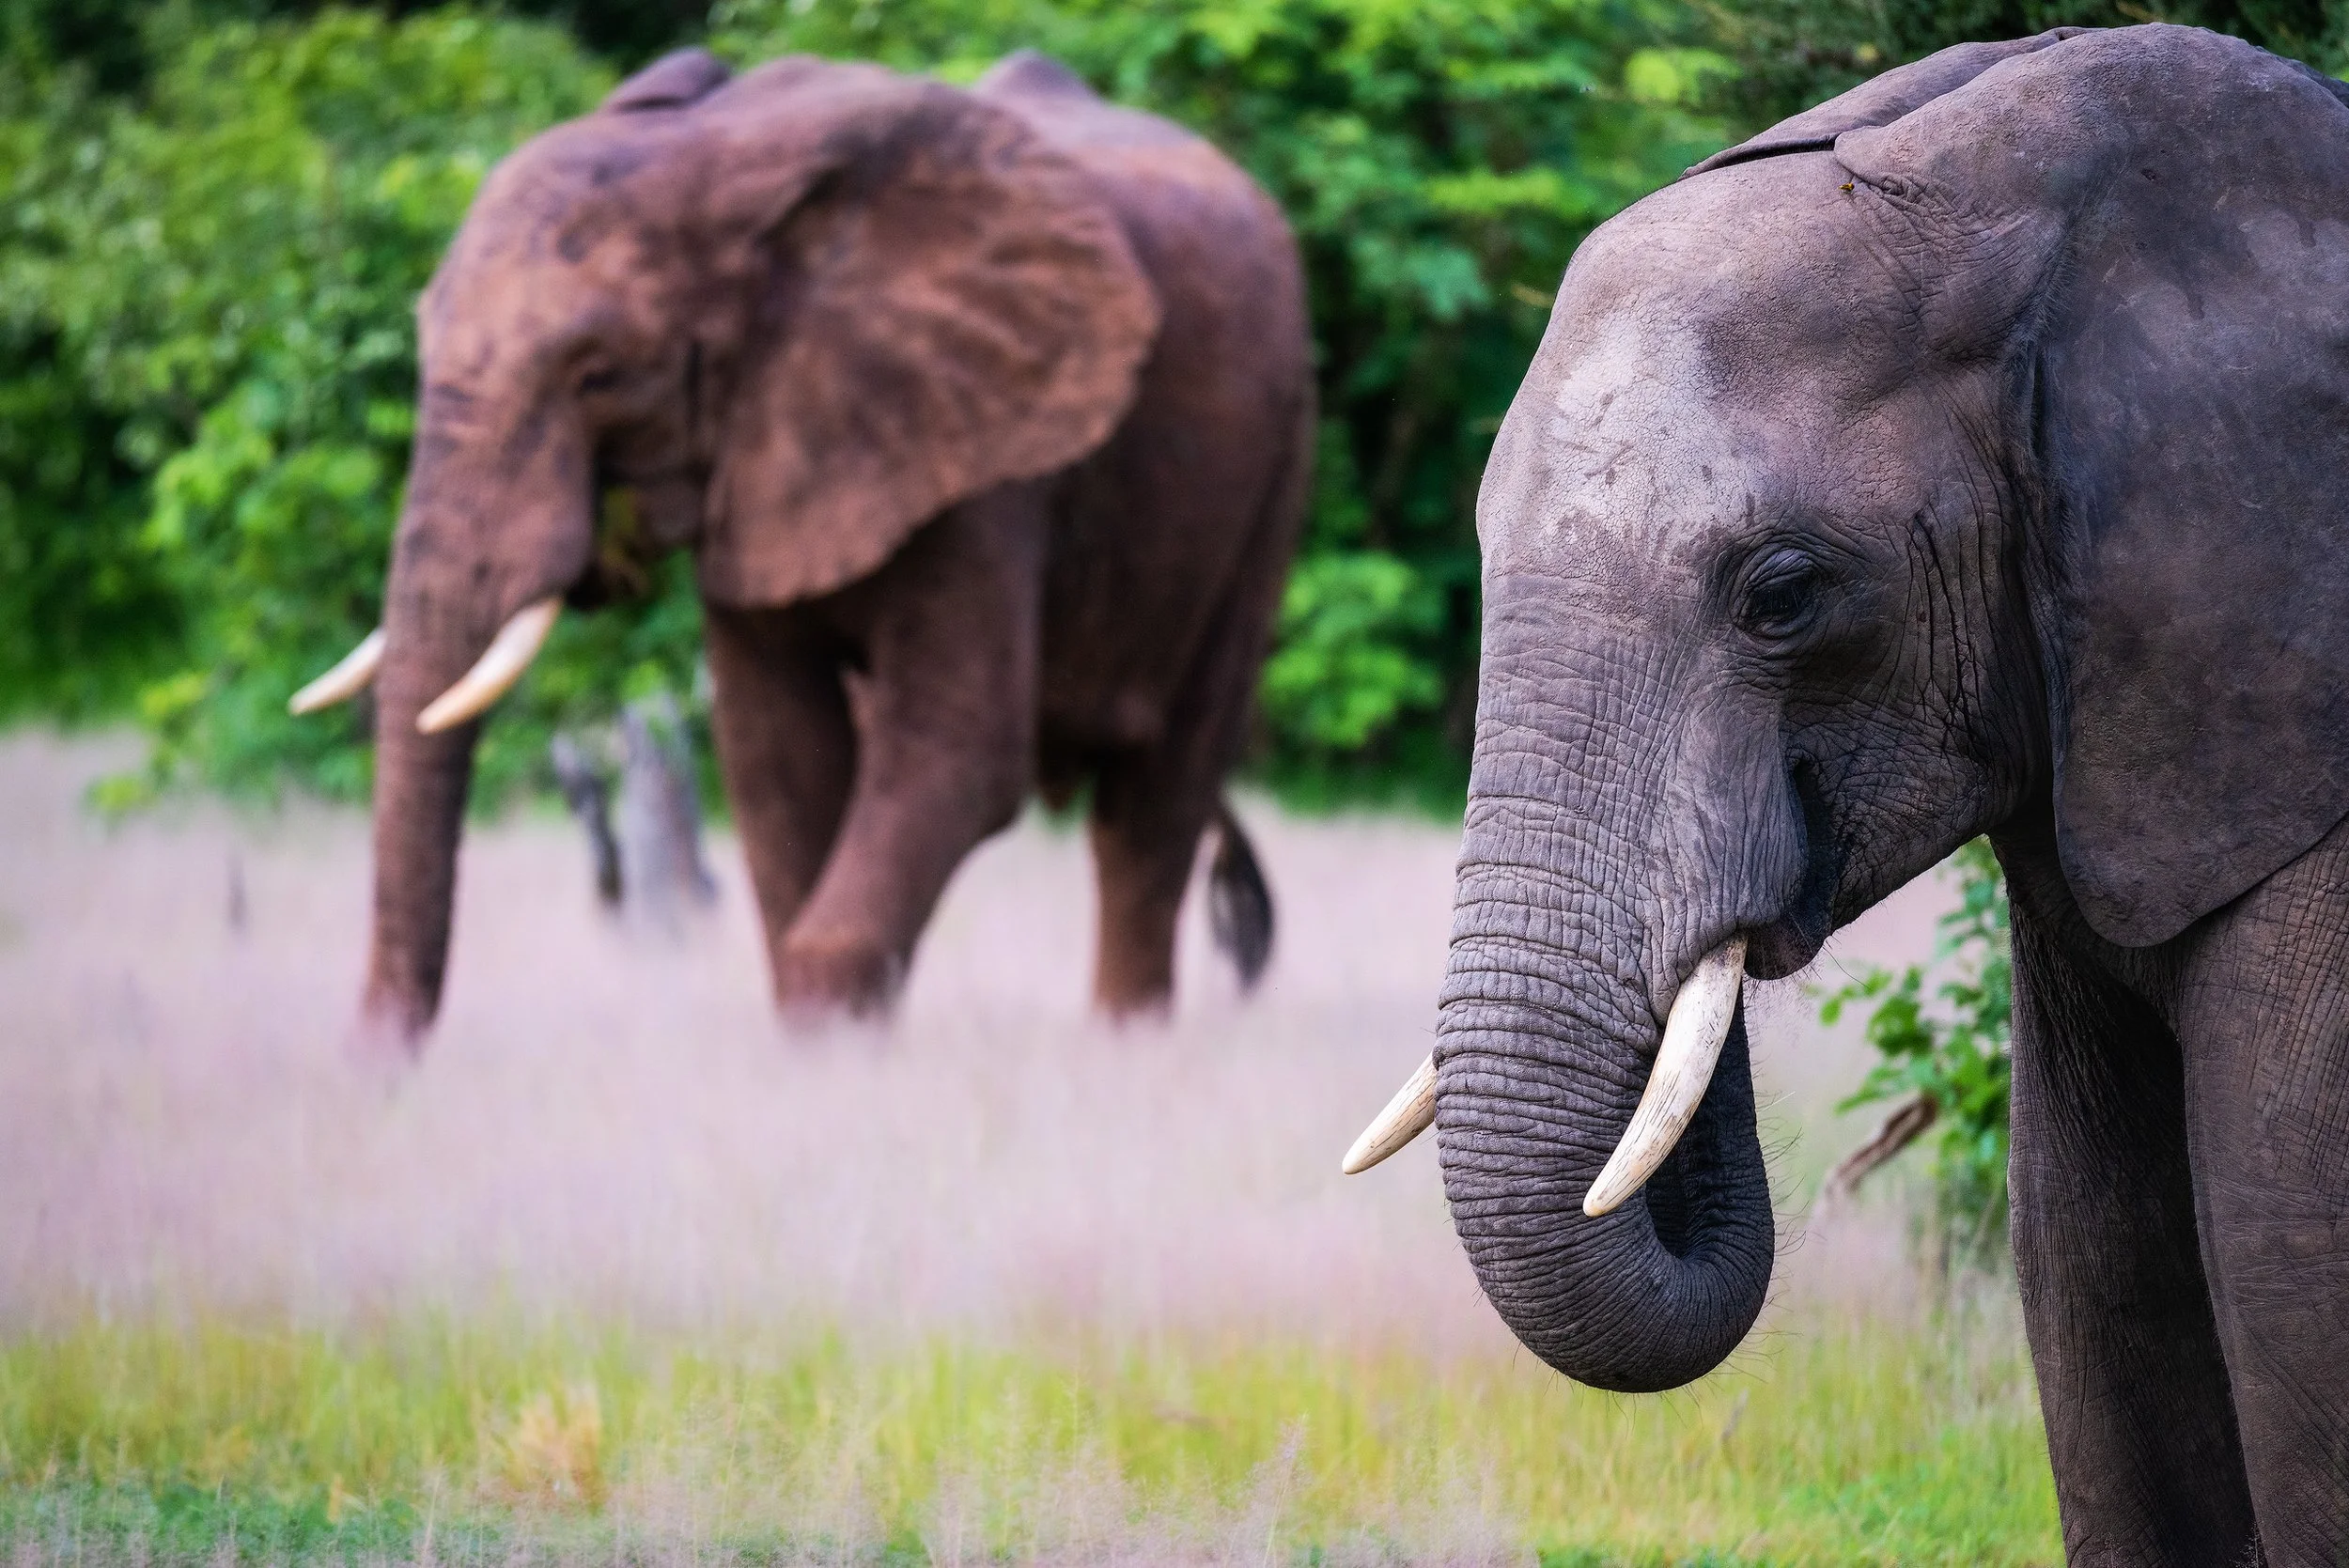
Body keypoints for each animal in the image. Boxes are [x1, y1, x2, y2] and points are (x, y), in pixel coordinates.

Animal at [291, 47, 1311, 1044]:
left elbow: (960, 752)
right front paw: (825, 1049)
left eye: (599, 376)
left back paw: (1126, 1044)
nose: (379, 1062)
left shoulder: (987, 450)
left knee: (1153, 802)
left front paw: (834, 1053)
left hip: (1273, 468)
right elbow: (773, 755)